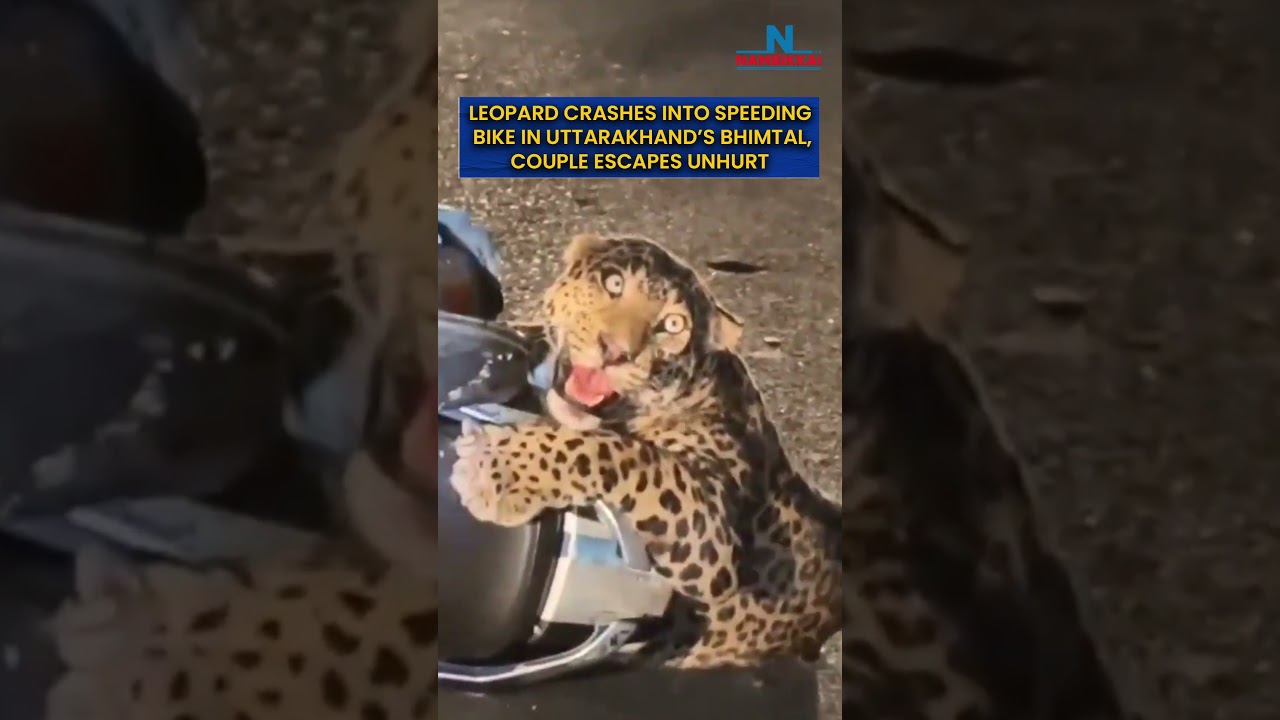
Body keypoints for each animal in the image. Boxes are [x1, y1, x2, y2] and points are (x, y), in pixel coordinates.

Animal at [449, 233, 842, 669]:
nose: (615, 352)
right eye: (613, 283)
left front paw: (496, 470)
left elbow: (621, 452)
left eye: (672, 325)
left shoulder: (713, 539)